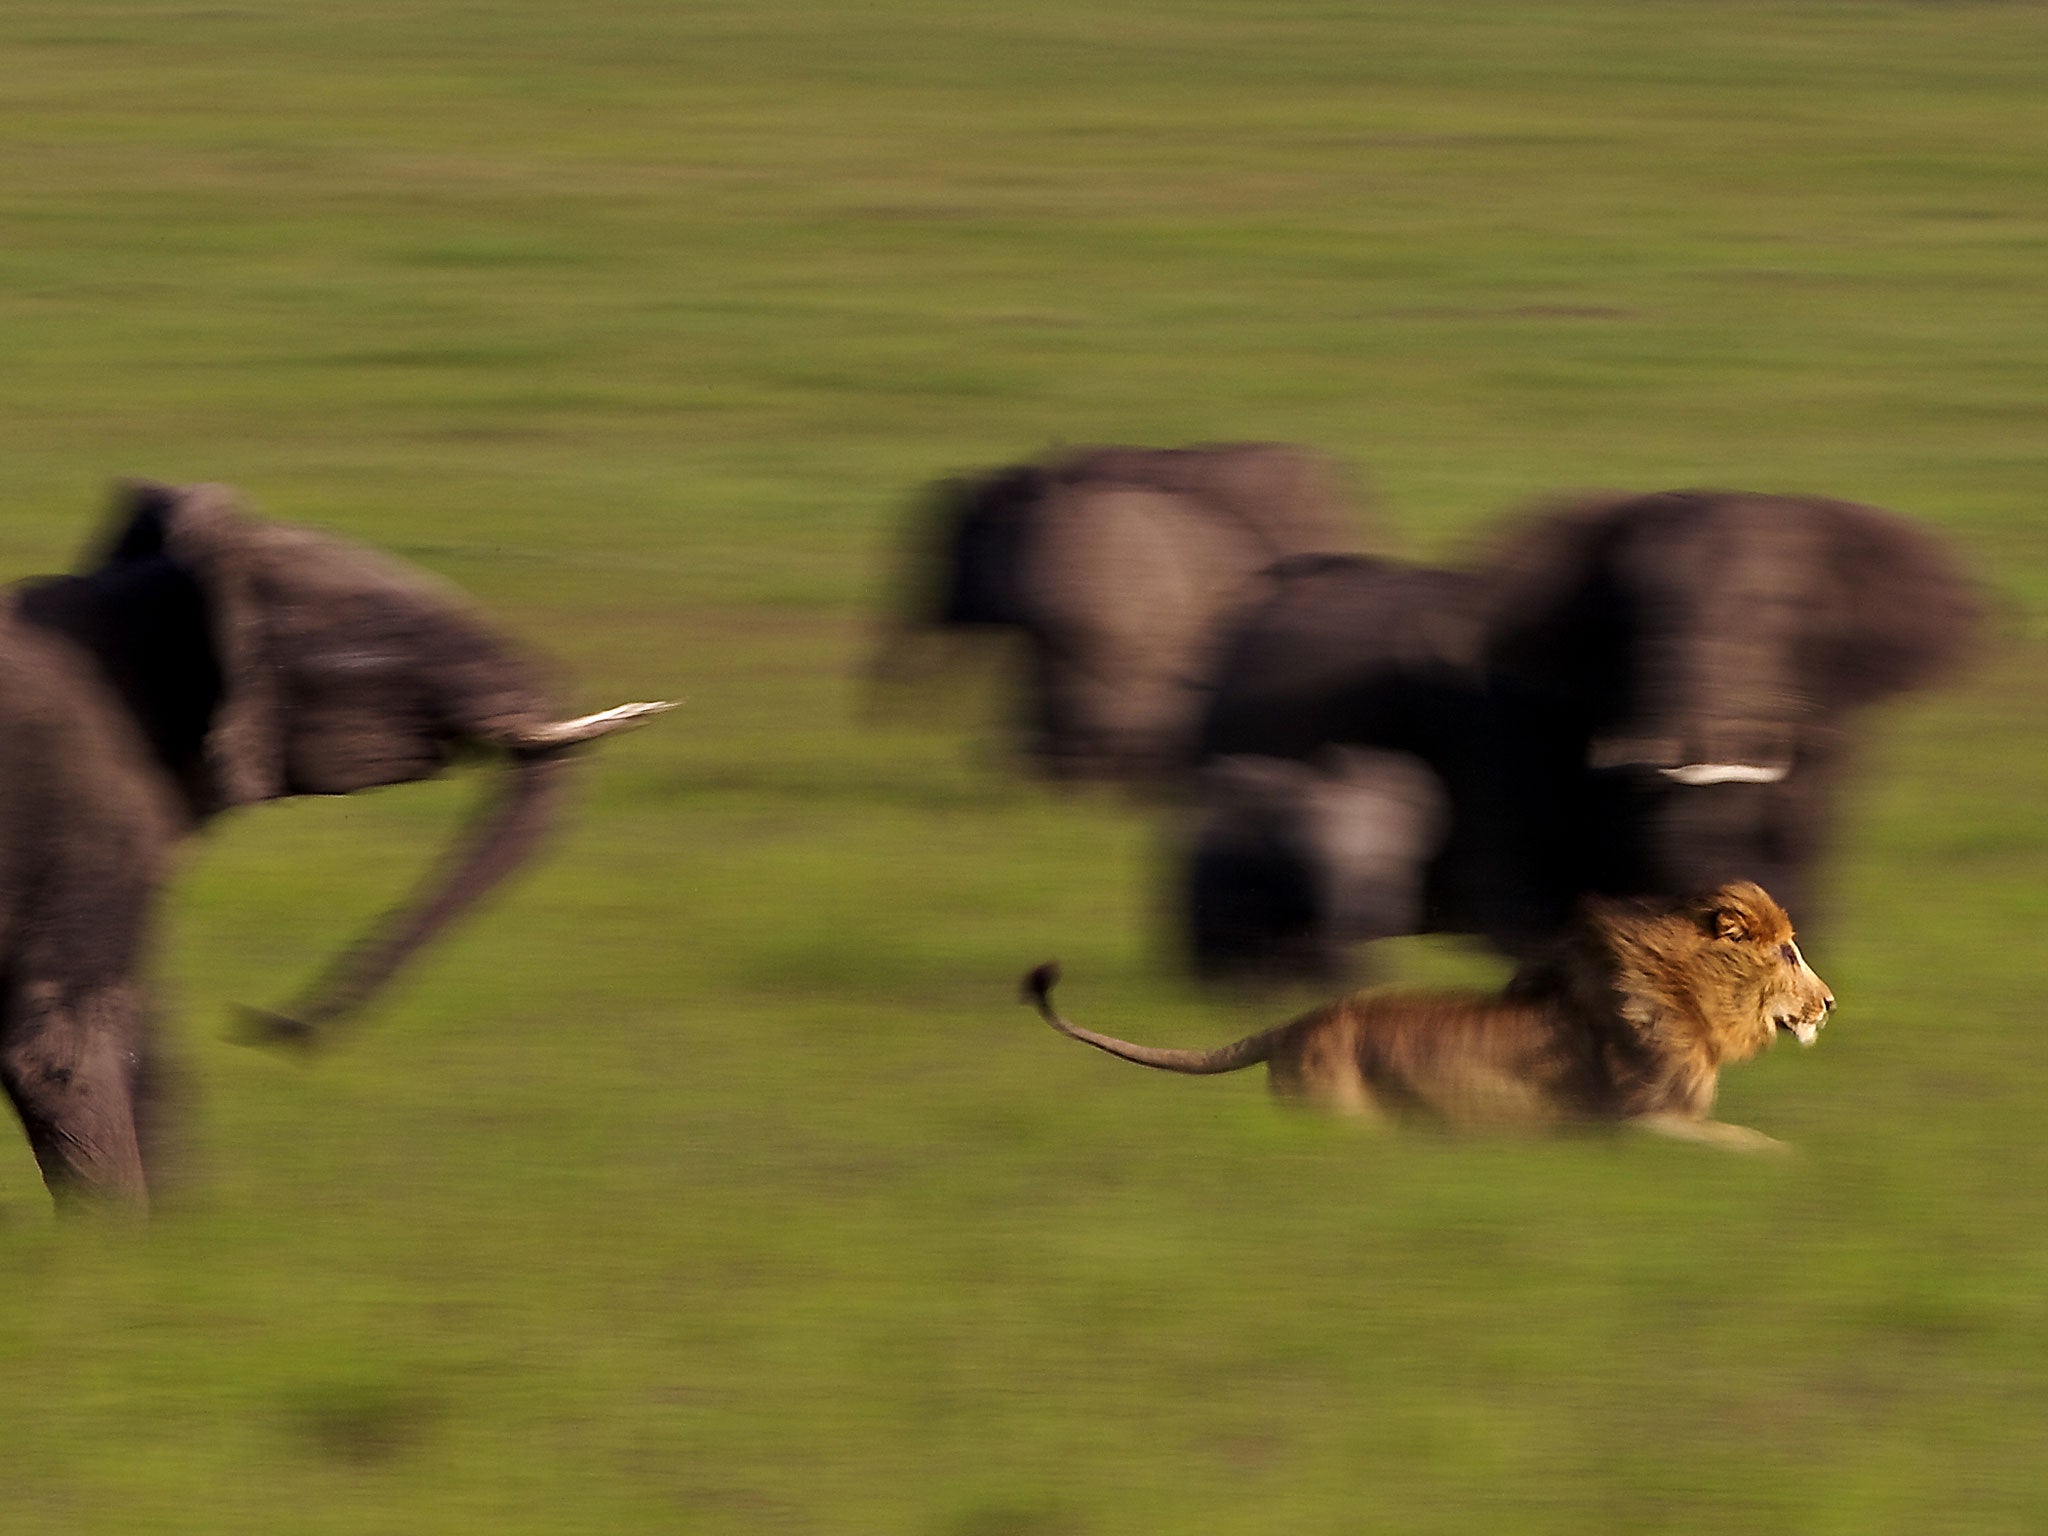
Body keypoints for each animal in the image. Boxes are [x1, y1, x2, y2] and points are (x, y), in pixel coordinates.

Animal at [1021, 880, 1834, 1152]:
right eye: (1791, 952)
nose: (1831, 1003)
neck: (1692, 995)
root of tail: (1293, 1023)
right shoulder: (1638, 1124)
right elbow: (1755, 1147)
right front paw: (1799, 1163)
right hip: (1335, 1114)